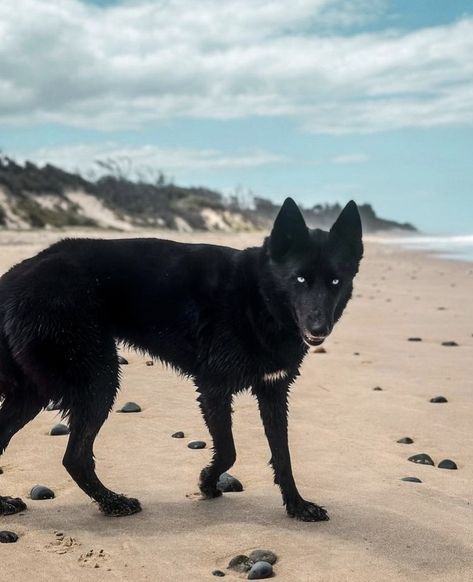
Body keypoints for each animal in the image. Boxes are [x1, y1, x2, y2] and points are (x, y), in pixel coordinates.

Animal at [0, 198, 362, 524]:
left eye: (335, 281)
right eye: (299, 279)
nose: (319, 329)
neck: (259, 297)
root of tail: (13, 278)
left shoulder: (273, 392)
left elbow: (282, 455)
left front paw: (297, 506)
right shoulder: (214, 388)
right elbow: (228, 449)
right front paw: (207, 482)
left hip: (32, 393)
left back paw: (7, 504)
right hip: (98, 379)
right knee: (76, 457)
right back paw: (113, 502)